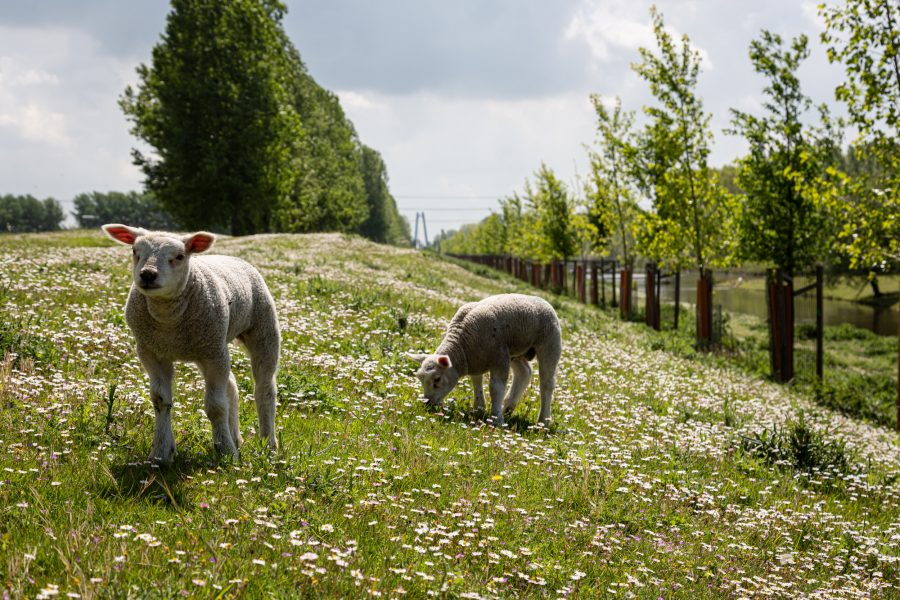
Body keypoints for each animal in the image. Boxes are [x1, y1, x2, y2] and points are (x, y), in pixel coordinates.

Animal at [102, 225, 280, 464]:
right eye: (134, 251)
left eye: (179, 256)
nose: (147, 274)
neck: (168, 321)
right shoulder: (152, 352)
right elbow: (160, 400)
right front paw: (161, 454)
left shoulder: (212, 353)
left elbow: (216, 406)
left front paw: (226, 453)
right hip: (211, 345)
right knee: (231, 386)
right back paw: (236, 438)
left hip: (261, 331)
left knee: (264, 389)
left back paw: (268, 446)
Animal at [410, 292, 564, 424]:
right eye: (420, 378)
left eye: (437, 379)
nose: (427, 403)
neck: (462, 344)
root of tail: (542, 300)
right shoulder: (475, 359)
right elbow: (476, 381)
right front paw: (479, 408)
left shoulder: (499, 357)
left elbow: (495, 387)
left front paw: (496, 419)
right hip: (516, 351)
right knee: (524, 372)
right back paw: (508, 407)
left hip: (550, 342)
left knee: (547, 383)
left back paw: (543, 420)